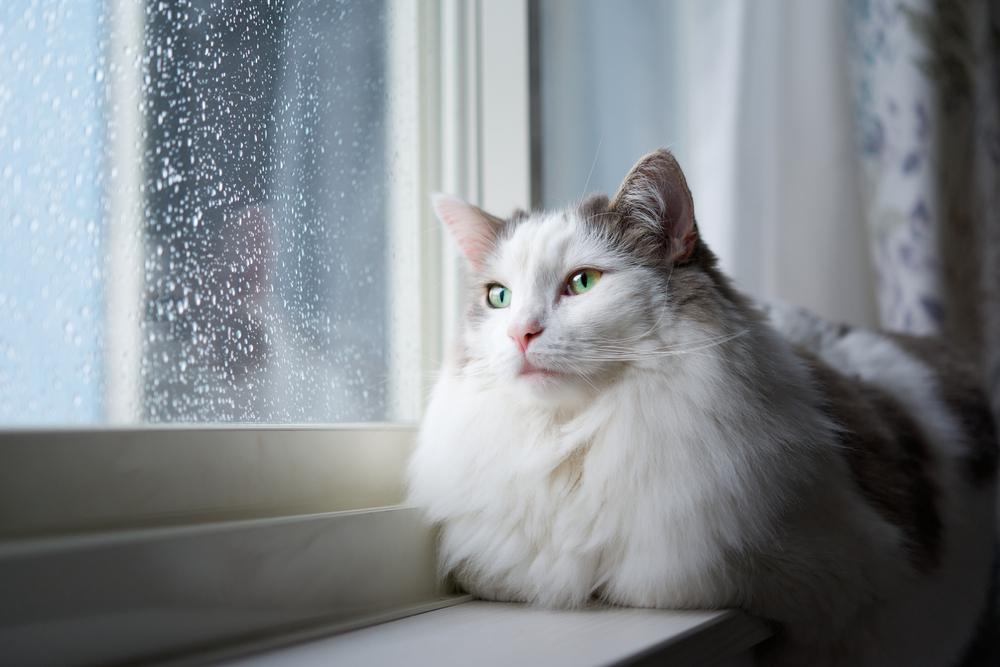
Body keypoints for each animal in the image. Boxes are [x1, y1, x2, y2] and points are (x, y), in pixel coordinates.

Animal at [408, 149, 1000, 664]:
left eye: (583, 282)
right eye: (498, 297)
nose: (521, 334)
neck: (574, 435)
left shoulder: (836, 569)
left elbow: (651, 579)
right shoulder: (495, 561)